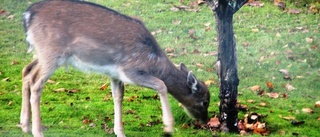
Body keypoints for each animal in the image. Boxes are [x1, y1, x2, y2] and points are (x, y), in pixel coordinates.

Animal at [19, 0, 210, 136]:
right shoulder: (131, 69)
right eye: (204, 101)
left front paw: (120, 132)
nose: (206, 120)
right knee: (36, 84)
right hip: (51, 52)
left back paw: (25, 125)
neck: (154, 62)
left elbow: (118, 96)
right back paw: (37, 131)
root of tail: (27, 15)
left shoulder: (115, 74)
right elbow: (161, 85)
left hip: (42, 53)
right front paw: (169, 128)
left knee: (27, 71)